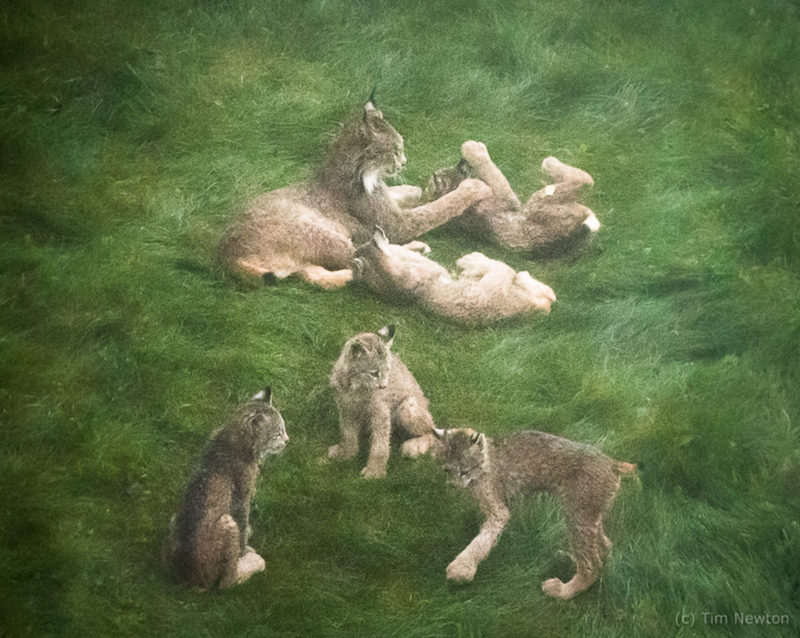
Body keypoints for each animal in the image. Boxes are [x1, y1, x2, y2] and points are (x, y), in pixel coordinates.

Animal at [162, 388, 288, 592]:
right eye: (277, 433)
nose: (287, 441)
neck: (232, 433)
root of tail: (186, 581)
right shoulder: (243, 494)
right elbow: (243, 522)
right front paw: (244, 552)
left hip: (175, 519)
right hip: (227, 522)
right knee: (226, 584)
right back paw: (254, 564)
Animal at [328, 324, 438, 480]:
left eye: (387, 370)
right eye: (374, 373)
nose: (384, 386)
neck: (355, 386)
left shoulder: (381, 412)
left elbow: (380, 443)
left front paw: (375, 472)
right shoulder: (346, 408)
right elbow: (347, 433)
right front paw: (346, 454)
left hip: (407, 407)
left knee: (434, 431)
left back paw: (414, 446)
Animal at [428, 141, 596, 258]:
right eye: (457, 169)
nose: (462, 161)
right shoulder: (508, 199)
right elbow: (494, 175)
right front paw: (474, 150)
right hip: (537, 205)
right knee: (584, 179)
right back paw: (549, 162)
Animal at [434, 430, 636, 600]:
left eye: (464, 471)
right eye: (447, 470)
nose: (453, 486)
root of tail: (612, 462)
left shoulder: (498, 511)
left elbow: (481, 540)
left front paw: (462, 568)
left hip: (578, 515)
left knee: (592, 563)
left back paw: (563, 591)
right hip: (589, 515)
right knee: (604, 545)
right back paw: (572, 558)